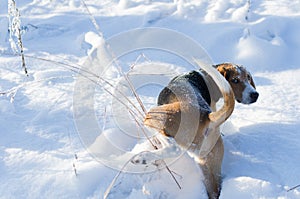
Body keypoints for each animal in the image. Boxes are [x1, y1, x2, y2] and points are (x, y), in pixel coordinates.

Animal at [143, 61, 258, 198]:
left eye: (248, 78)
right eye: (235, 80)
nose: (255, 94)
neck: (205, 78)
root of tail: (206, 116)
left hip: (154, 116)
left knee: (173, 148)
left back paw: (141, 158)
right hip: (209, 165)